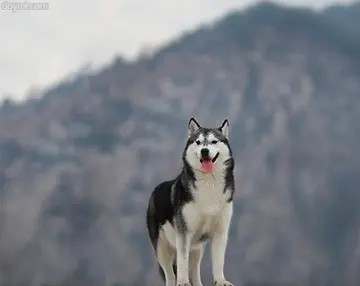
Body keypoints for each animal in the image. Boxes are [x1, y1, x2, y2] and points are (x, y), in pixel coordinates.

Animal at [145, 117, 235, 284]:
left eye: (214, 141)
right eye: (198, 142)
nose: (204, 151)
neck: (208, 183)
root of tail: (154, 191)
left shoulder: (220, 232)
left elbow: (219, 262)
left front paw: (221, 281)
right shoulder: (183, 234)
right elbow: (182, 263)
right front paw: (183, 283)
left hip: (197, 249)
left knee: (194, 272)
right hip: (163, 250)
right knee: (170, 275)